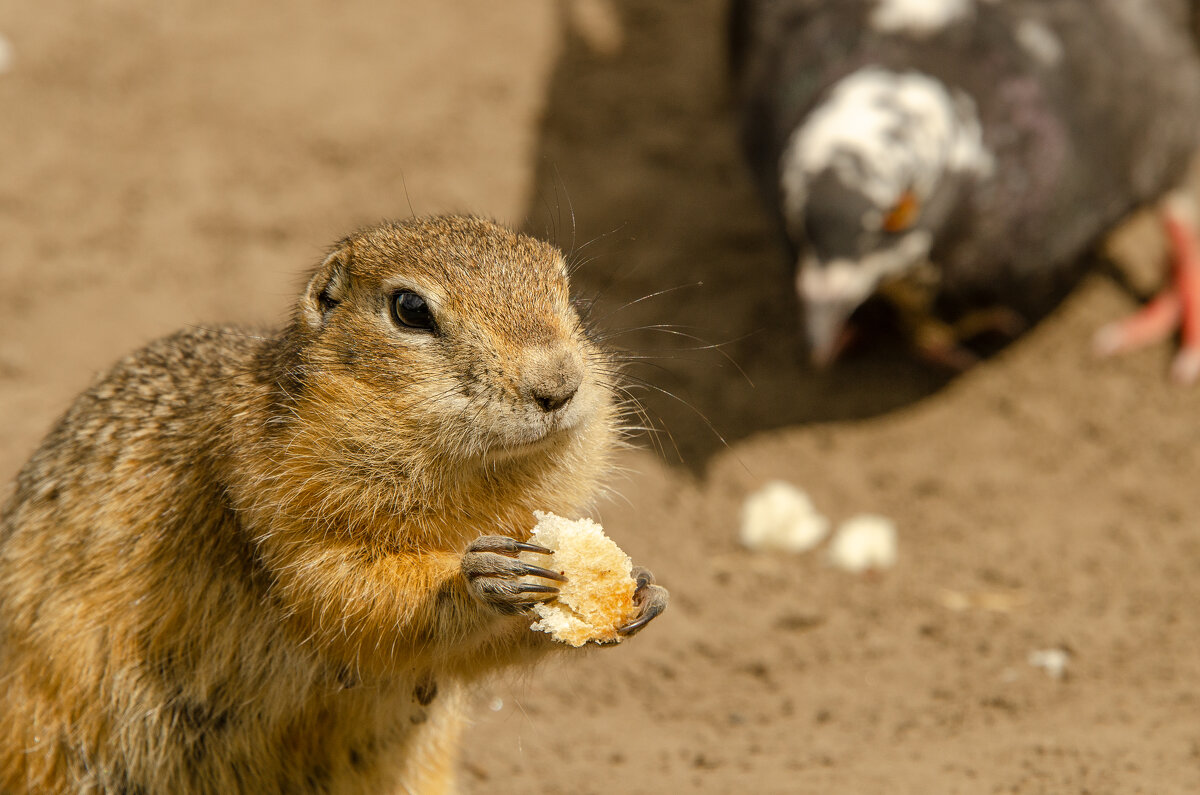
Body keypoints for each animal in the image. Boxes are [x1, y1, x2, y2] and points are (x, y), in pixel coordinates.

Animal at [0, 214, 667, 792]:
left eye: (565, 286)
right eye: (410, 309)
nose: (558, 386)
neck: (477, 487)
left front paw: (641, 591)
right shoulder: (271, 507)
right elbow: (344, 593)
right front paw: (481, 575)